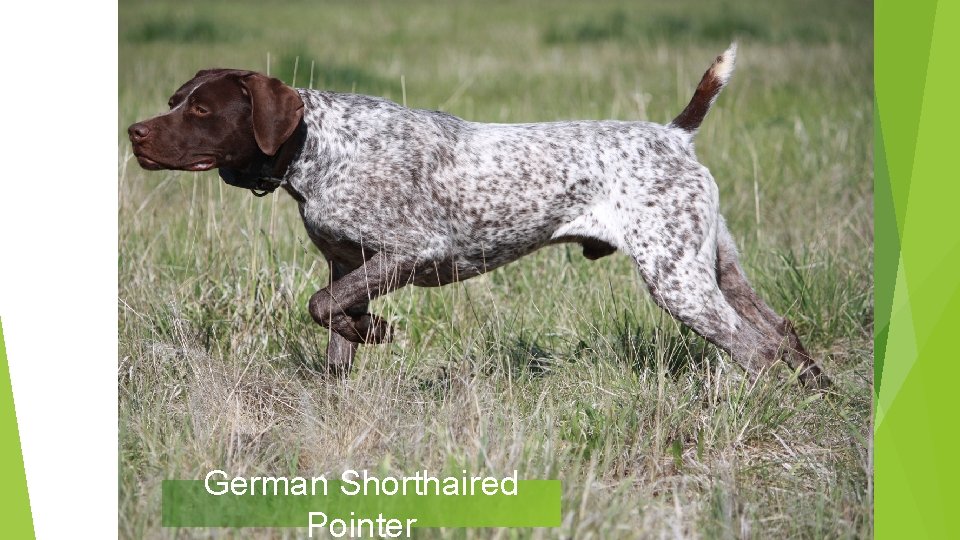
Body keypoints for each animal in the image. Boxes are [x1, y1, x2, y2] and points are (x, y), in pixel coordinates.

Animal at [127, 44, 828, 386]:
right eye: (175, 99)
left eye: (201, 110)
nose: (135, 133)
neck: (317, 147)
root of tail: (675, 135)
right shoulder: (347, 266)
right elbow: (334, 334)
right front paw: (360, 345)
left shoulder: (410, 252)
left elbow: (320, 308)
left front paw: (376, 330)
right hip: (715, 268)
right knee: (783, 333)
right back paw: (816, 395)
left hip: (677, 279)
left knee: (754, 347)